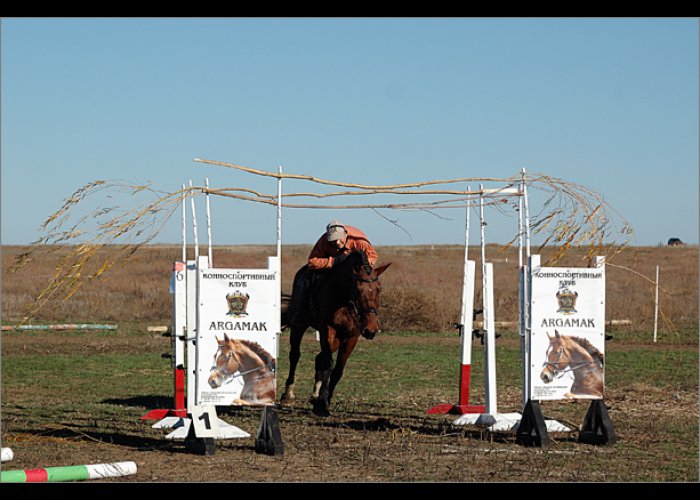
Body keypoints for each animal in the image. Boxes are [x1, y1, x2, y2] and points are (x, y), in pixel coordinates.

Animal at [278, 250, 392, 418]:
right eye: (357, 290)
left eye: (378, 289)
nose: (371, 329)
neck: (344, 301)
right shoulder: (328, 329)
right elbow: (328, 363)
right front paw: (321, 404)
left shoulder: (351, 337)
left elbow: (338, 369)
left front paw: (325, 399)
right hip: (300, 325)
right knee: (295, 356)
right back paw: (288, 395)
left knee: (319, 358)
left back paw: (315, 395)